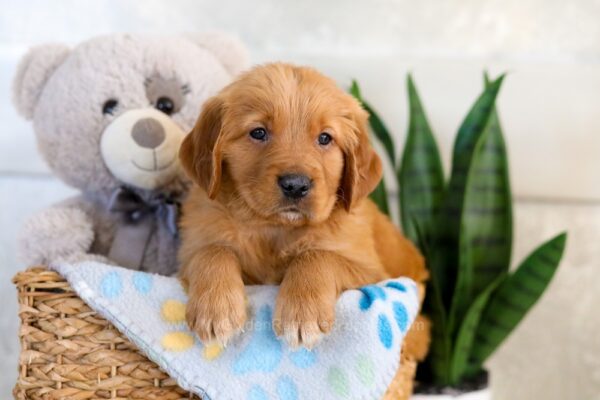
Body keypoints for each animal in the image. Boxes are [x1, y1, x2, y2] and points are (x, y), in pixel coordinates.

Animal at [177, 61, 426, 350]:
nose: (295, 185)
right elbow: (213, 251)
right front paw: (215, 310)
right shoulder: (190, 251)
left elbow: (317, 255)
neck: (276, 228)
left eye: (325, 138)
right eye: (258, 132)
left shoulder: (375, 275)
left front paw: (302, 313)